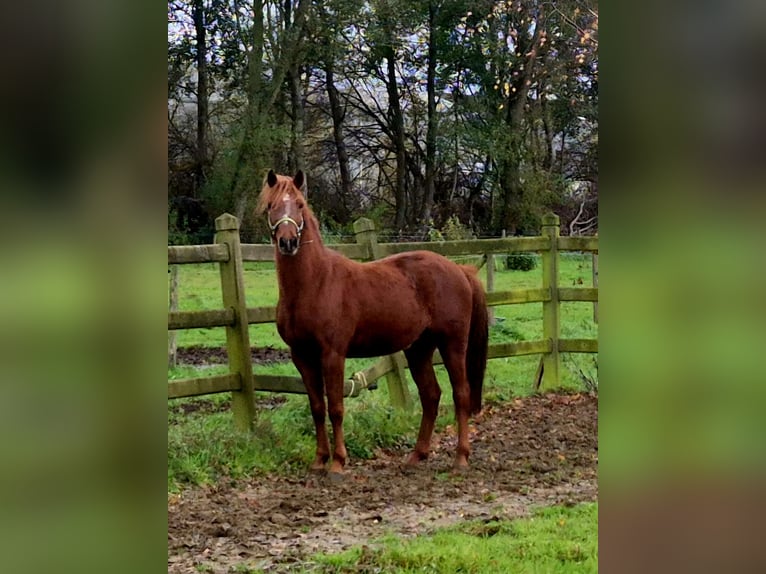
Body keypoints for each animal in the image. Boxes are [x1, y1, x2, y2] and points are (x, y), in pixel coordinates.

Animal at [257, 169, 488, 476]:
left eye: (299, 204)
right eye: (271, 206)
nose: (288, 242)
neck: (315, 282)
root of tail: (460, 270)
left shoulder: (333, 354)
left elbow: (336, 408)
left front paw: (338, 463)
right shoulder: (302, 356)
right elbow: (317, 407)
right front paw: (319, 460)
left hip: (452, 344)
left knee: (460, 394)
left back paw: (461, 457)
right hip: (419, 349)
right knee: (431, 395)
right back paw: (417, 455)